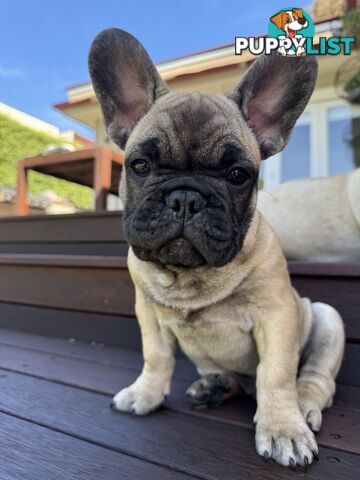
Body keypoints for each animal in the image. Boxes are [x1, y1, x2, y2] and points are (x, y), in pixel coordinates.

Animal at [88, 29, 344, 468]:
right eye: (140, 166)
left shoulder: (277, 316)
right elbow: (156, 357)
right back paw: (215, 386)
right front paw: (145, 394)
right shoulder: (148, 317)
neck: (190, 276)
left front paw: (283, 429)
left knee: (312, 380)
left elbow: (277, 375)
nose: (186, 198)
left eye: (238, 175)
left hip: (327, 318)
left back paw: (303, 408)